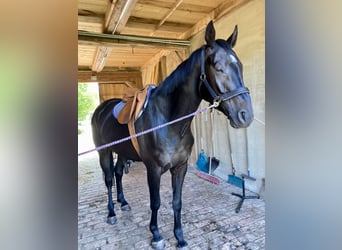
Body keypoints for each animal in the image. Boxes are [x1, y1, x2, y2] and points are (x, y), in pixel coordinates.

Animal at [91, 21, 254, 248]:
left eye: (240, 66)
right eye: (218, 67)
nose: (245, 115)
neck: (169, 122)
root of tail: (101, 109)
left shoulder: (180, 167)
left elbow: (177, 202)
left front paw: (180, 238)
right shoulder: (154, 169)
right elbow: (156, 202)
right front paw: (157, 235)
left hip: (122, 152)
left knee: (118, 173)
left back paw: (123, 202)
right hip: (104, 152)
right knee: (108, 179)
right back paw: (111, 213)